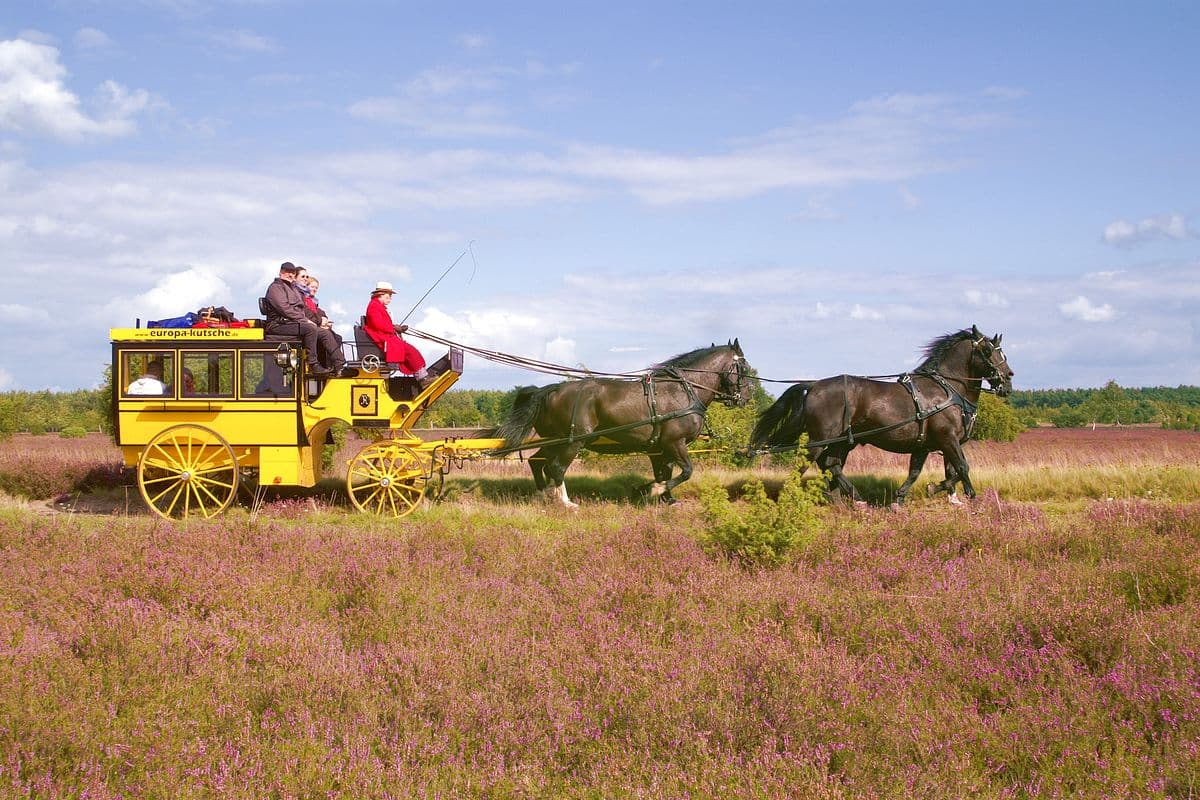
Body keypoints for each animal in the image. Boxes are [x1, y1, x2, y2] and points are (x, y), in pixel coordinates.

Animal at [496, 343, 748, 506]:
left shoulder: (660, 447)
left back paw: (543, 495)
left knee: (537, 461)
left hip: (555, 440)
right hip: (573, 441)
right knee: (556, 467)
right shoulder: (675, 442)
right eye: (745, 368)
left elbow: (663, 472)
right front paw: (653, 490)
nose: (744, 398)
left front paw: (661, 497)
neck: (681, 391)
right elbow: (685, 471)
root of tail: (551, 389)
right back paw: (565, 502)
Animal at [748, 326, 1012, 503]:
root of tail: (813, 385)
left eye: (1002, 352)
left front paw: (915, 495)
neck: (946, 390)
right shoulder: (947, 438)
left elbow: (933, 471)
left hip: (842, 441)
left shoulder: (929, 443)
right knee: (808, 464)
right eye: (987, 350)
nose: (1008, 380)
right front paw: (971, 496)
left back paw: (849, 497)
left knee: (831, 464)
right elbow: (963, 467)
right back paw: (791, 496)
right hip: (821, 439)